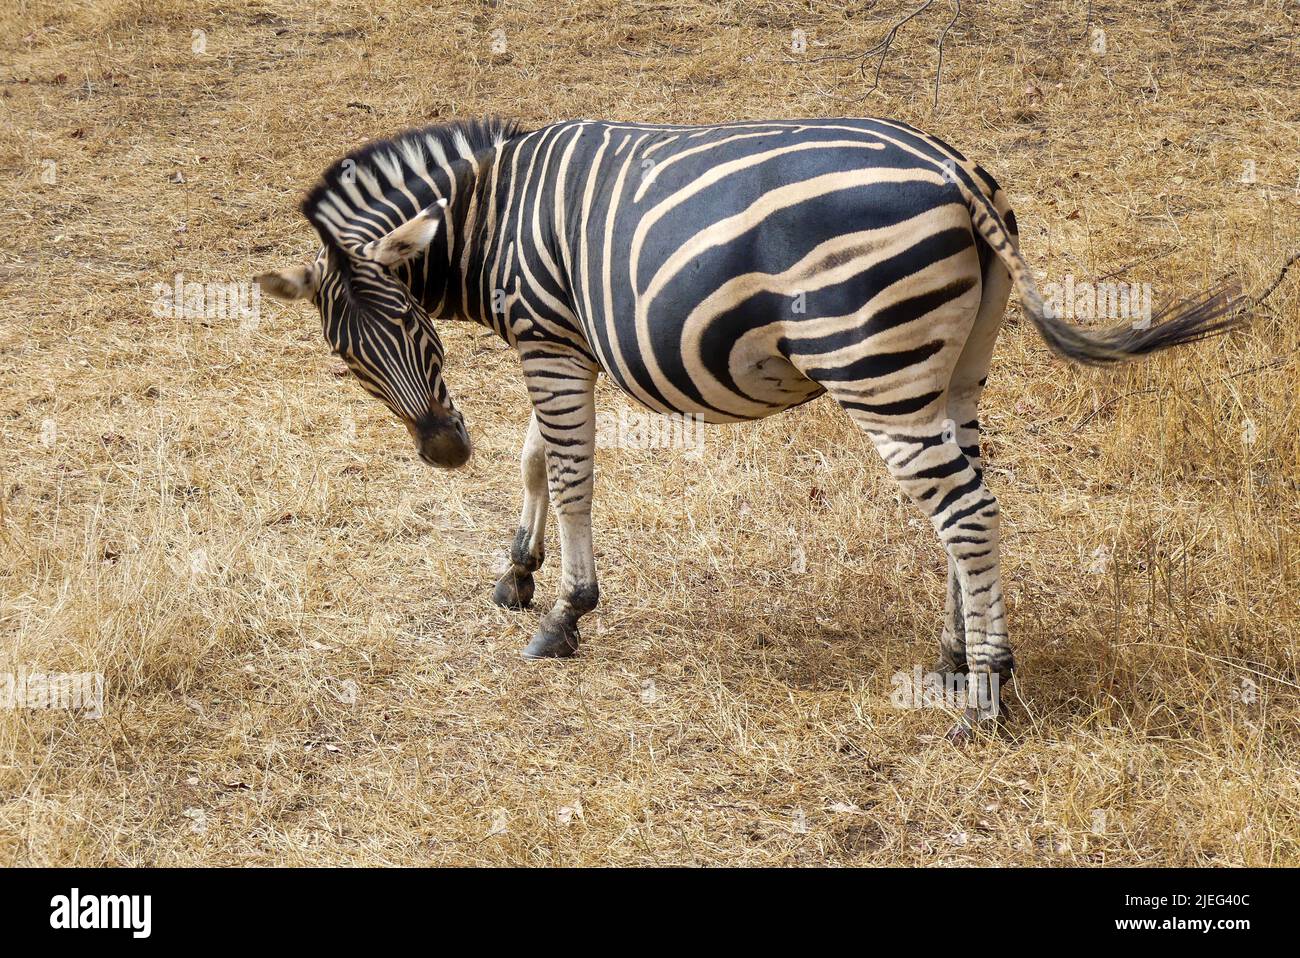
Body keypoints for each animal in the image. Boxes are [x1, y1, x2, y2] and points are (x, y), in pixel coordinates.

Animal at [256, 117, 1240, 736]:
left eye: (411, 325)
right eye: (347, 358)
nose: (444, 451)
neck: (487, 211)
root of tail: (955, 169)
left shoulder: (546, 335)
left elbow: (569, 472)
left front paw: (568, 612)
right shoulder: (567, 343)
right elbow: (539, 457)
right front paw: (518, 571)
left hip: (875, 365)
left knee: (966, 515)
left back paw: (985, 696)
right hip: (955, 369)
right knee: (968, 508)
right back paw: (954, 657)